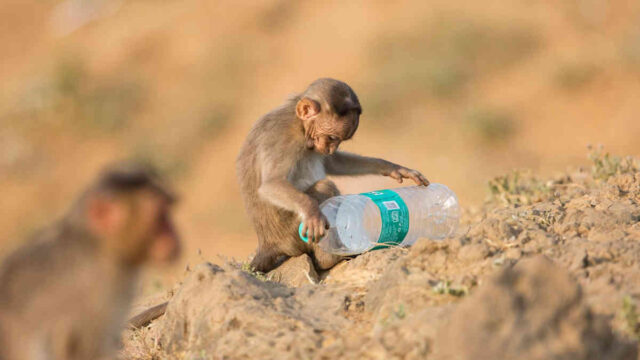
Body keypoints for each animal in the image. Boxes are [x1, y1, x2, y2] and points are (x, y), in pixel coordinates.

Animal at [239, 77, 430, 272]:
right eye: (331, 137)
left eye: (339, 140)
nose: (330, 149)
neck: (298, 124)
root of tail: (269, 243)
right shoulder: (282, 138)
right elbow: (271, 184)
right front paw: (312, 212)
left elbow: (332, 163)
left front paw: (390, 167)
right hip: (291, 235)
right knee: (325, 186)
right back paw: (328, 258)